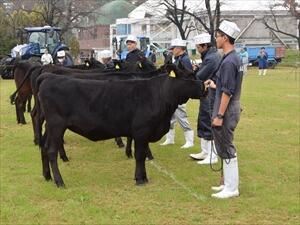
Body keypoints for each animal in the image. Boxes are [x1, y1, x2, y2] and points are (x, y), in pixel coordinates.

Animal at [37, 71, 206, 186]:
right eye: (190, 76)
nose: (205, 87)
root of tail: (49, 77)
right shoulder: (141, 131)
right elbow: (140, 156)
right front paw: (139, 179)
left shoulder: (144, 134)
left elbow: (142, 154)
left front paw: (144, 177)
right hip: (56, 125)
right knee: (51, 151)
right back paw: (59, 181)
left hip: (50, 127)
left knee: (43, 147)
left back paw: (47, 176)